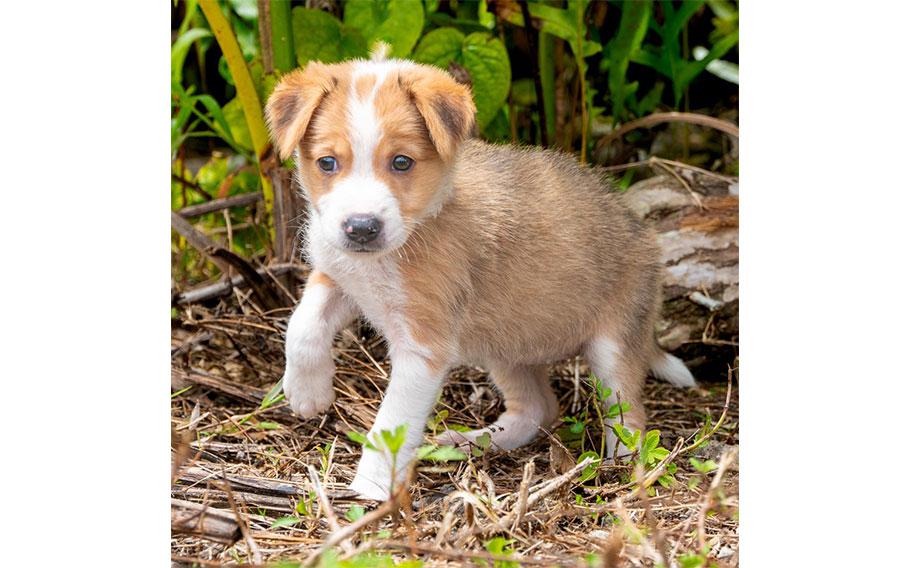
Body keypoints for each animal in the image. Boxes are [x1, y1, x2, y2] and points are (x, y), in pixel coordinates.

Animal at [268, 50, 696, 502]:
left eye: (401, 162)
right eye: (327, 163)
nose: (362, 228)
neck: (417, 227)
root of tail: (644, 234)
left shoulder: (423, 347)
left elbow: (390, 428)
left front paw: (369, 493)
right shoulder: (337, 277)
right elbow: (302, 323)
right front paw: (307, 391)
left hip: (613, 347)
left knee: (630, 420)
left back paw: (623, 475)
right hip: (505, 345)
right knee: (539, 408)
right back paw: (471, 441)